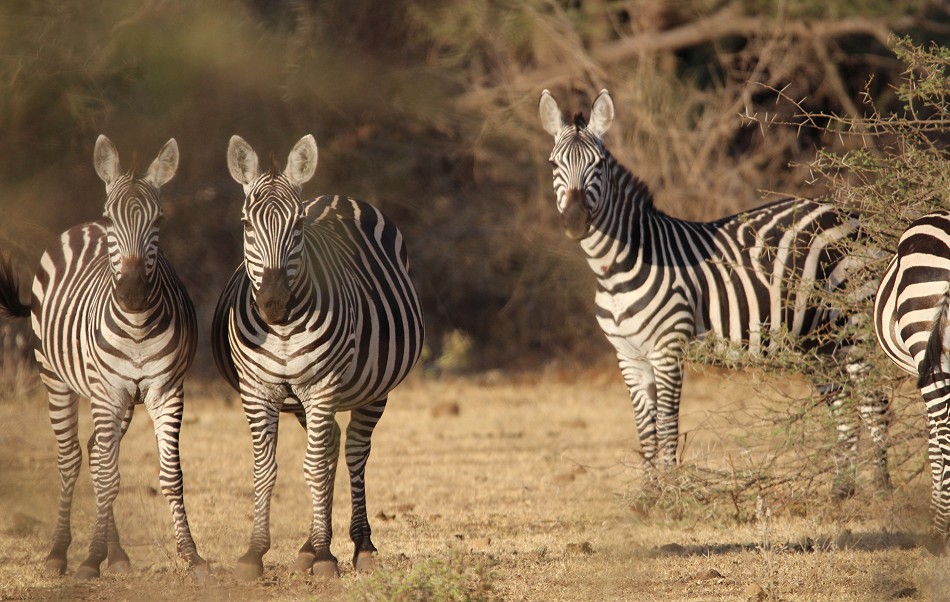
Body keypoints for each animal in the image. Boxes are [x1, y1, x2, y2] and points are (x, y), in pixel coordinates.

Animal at [0, 135, 206, 576]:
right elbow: (110, 478)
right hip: (59, 381)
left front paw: (191, 554)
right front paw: (90, 558)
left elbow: (171, 475)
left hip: (123, 399)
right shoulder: (107, 393)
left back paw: (119, 555)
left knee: (96, 454)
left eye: (159, 221)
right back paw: (59, 553)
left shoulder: (167, 392)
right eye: (112, 220)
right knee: (73, 459)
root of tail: (81, 227)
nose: (132, 292)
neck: (138, 327)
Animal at [214, 135, 426, 576]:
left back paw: (360, 546)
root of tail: (338, 196)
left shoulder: (322, 386)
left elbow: (313, 468)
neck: (281, 330)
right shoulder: (257, 390)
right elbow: (265, 470)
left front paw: (328, 556)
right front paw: (255, 553)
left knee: (353, 452)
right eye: (246, 225)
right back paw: (310, 546)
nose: (274, 304)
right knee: (328, 448)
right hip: (302, 401)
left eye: (297, 227)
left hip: (372, 391)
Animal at [544, 88, 892, 492]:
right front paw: (647, 494)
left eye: (598, 165)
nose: (575, 222)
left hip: (852, 325)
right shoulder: (628, 356)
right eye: (554, 165)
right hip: (818, 342)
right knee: (844, 408)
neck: (616, 271)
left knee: (874, 404)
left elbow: (667, 427)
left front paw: (670, 493)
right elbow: (645, 432)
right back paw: (842, 491)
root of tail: (850, 216)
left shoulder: (667, 350)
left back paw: (882, 490)